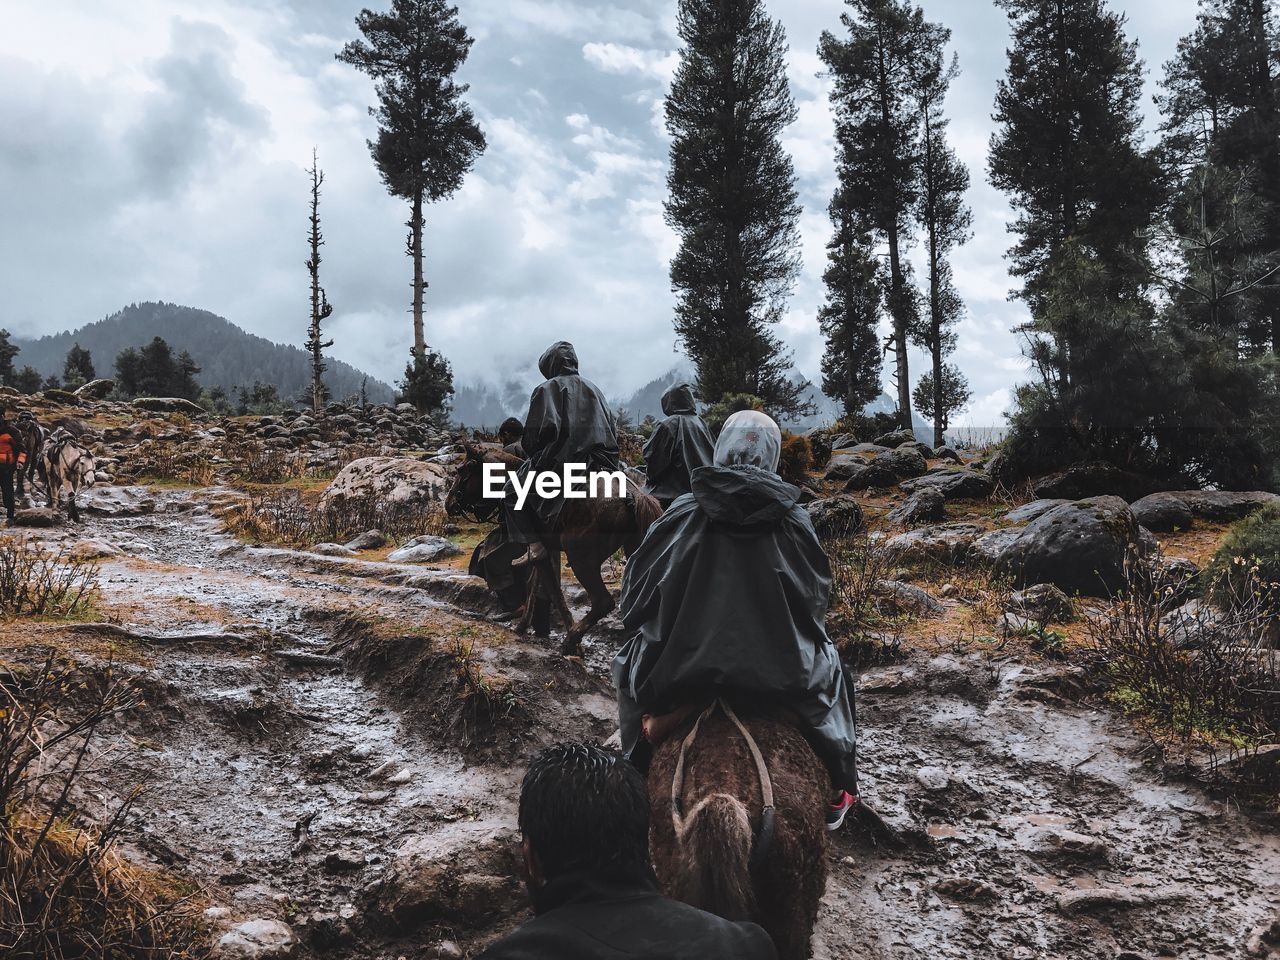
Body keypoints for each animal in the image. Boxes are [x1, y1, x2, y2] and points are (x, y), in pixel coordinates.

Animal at [445, 445, 665, 660]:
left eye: (461, 470)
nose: (448, 503)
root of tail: (634, 496)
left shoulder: (542, 551)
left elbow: (553, 591)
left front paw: (574, 644)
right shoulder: (544, 548)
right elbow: (534, 584)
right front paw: (523, 624)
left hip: (581, 559)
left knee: (603, 602)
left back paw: (570, 641)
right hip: (635, 551)